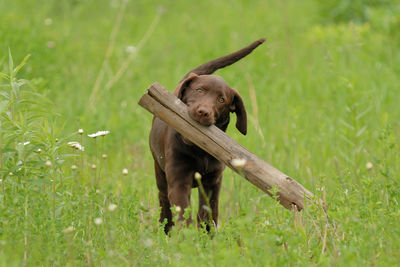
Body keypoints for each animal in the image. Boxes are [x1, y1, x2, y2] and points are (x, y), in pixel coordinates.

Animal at [150, 38, 266, 234]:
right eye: (199, 90)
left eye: (221, 99)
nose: (203, 112)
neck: (199, 150)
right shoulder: (178, 178)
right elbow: (182, 210)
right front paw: (185, 236)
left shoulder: (213, 181)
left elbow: (209, 212)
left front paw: (207, 237)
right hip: (160, 171)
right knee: (164, 202)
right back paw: (165, 230)